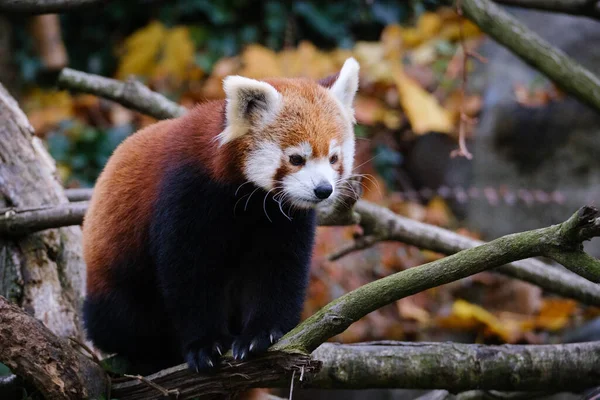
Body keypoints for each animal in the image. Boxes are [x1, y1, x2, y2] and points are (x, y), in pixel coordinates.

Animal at [81, 56, 358, 372]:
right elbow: (189, 272)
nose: (323, 190)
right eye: (296, 159)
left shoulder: (282, 219)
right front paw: (205, 344)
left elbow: (279, 268)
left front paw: (261, 333)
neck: (248, 200)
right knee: (122, 320)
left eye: (334, 158)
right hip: (114, 279)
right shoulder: (186, 192)